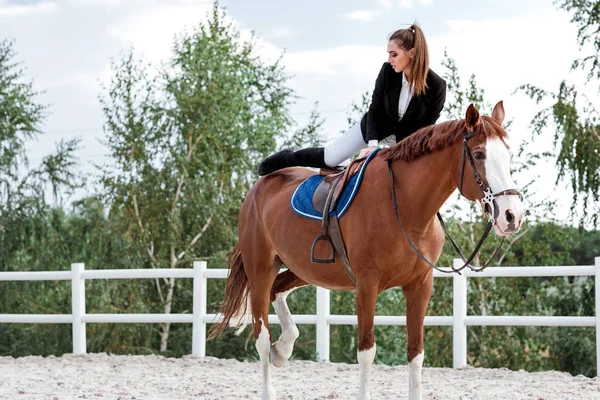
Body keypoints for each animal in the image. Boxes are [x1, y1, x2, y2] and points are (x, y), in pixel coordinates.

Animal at [210, 101, 524, 398]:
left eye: (509, 156)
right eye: (480, 154)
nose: (513, 216)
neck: (405, 208)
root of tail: (258, 189)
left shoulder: (420, 285)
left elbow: (416, 353)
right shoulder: (367, 284)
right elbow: (366, 351)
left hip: (305, 269)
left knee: (278, 290)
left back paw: (284, 348)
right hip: (260, 268)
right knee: (261, 333)